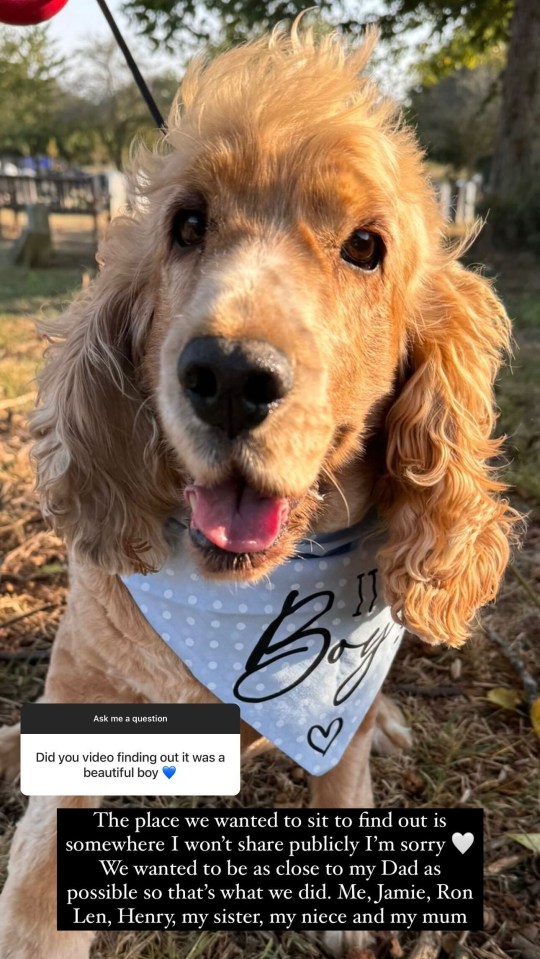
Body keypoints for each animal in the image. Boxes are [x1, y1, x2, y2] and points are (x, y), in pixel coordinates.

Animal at [0, 20, 516, 959]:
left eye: (365, 246)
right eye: (187, 224)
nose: (231, 376)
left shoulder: (337, 705)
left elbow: (342, 761)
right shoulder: (81, 687)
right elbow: (39, 866)